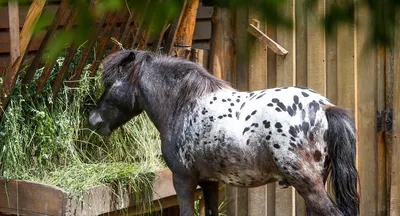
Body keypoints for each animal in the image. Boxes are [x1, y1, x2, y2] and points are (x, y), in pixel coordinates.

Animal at [89, 49, 360, 216]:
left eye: (110, 84)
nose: (93, 119)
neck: (184, 105)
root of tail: (325, 107)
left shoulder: (183, 181)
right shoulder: (210, 182)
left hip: (308, 183)